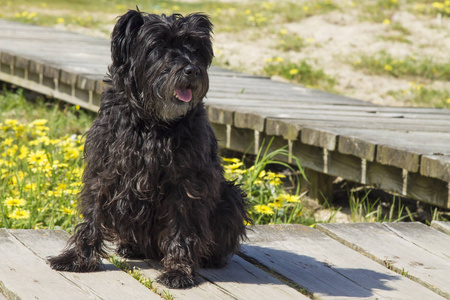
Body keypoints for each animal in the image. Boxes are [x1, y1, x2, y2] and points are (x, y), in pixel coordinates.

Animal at [49, 10, 250, 290]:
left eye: (195, 47)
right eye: (160, 46)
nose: (192, 69)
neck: (152, 122)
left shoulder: (186, 184)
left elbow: (182, 228)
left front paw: (178, 270)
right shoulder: (105, 170)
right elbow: (92, 216)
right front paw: (77, 258)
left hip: (230, 196)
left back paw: (210, 257)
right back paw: (131, 247)